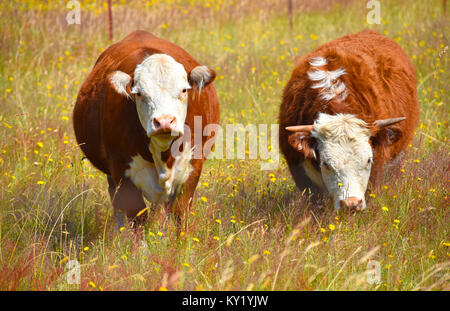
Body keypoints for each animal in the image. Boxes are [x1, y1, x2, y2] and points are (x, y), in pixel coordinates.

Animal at [72, 30, 220, 228]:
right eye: (139, 93)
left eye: (184, 90)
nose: (164, 122)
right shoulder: (122, 172)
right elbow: (137, 218)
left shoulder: (192, 168)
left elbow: (179, 214)